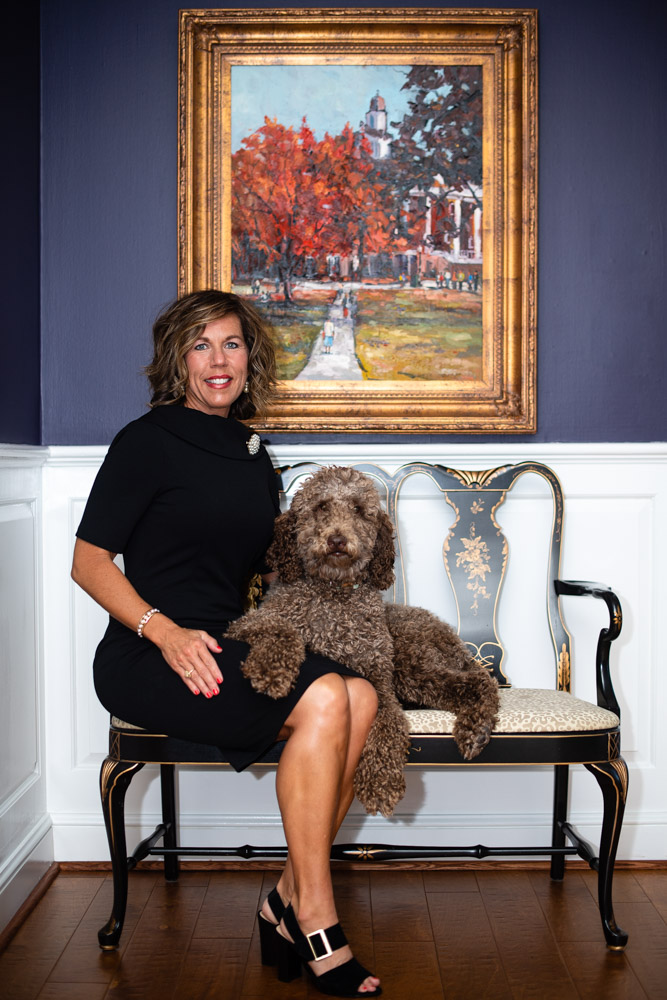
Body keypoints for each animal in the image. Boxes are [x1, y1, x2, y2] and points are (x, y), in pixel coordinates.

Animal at [227, 464, 498, 816]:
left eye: (358, 509)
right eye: (321, 506)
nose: (337, 539)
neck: (333, 592)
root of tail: (448, 632)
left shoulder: (378, 682)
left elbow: (388, 724)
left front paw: (381, 782)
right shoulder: (244, 623)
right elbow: (281, 629)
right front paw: (271, 671)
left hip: (411, 663)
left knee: (480, 682)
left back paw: (475, 730)